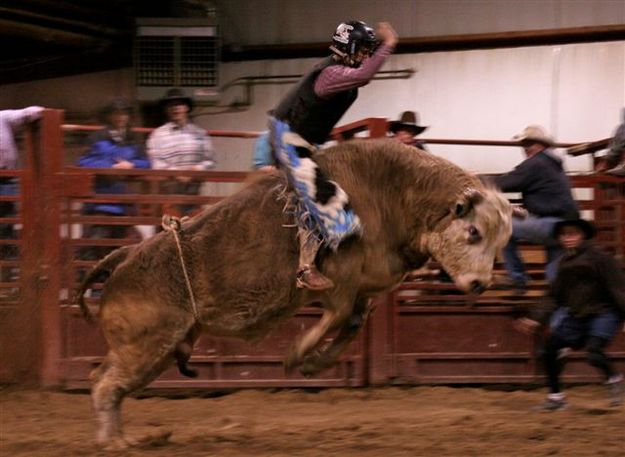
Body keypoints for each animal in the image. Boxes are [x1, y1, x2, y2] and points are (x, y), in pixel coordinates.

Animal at [75, 138, 510, 446]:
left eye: (502, 242)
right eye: (474, 231)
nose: (479, 285)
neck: (394, 193)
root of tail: (125, 258)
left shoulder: (366, 289)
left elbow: (353, 324)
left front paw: (317, 363)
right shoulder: (341, 278)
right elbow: (338, 316)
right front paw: (297, 356)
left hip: (154, 350)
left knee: (105, 380)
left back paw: (123, 438)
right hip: (146, 345)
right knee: (105, 385)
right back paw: (115, 443)